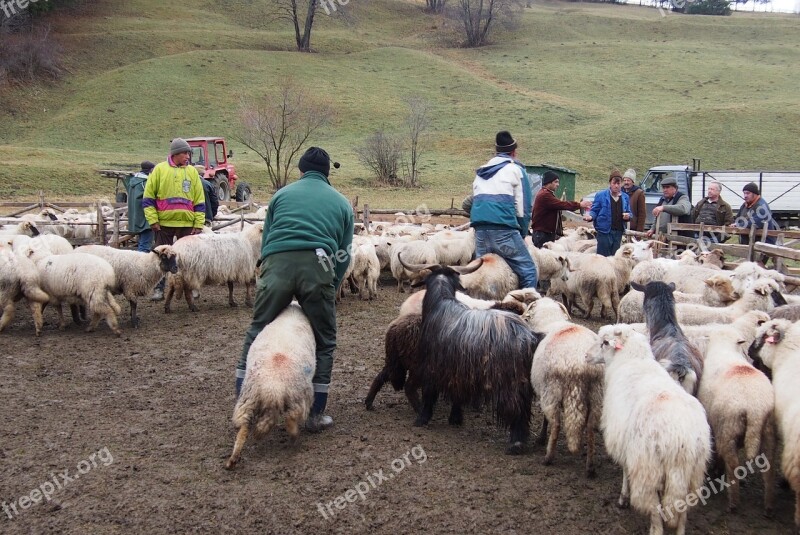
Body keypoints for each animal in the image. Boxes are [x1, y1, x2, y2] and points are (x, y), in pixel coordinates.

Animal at [225, 304, 316, 472]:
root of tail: (272, 390)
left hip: (248, 399)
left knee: (243, 428)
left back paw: (233, 460)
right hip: (299, 398)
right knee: (290, 419)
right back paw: (294, 440)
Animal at [400, 255, 544, 456]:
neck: (441, 304)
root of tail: (530, 336)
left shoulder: (432, 366)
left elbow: (429, 393)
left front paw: (422, 419)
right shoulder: (458, 372)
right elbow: (457, 395)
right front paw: (455, 418)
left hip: (510, 381)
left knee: (517, 408)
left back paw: (515, 443)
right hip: (524, 381)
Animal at [584, 324, 708, 535]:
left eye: (604, 343)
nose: (585, 355)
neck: (632, 360)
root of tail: (681, 438)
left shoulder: (626, 442)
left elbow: (625, 470)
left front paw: (623, 498)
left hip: (648, 468)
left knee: (655, 509)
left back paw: (654, 528)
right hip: (692, 473)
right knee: (682, 512)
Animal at [692, 326, 776, 516]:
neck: (725, 348)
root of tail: (755, 408)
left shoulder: (715, 424)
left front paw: (716, 468)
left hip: (728, 428)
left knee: (732, 464)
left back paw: (733, 502)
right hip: (767, 432)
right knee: (768, 469)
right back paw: (768, 505)